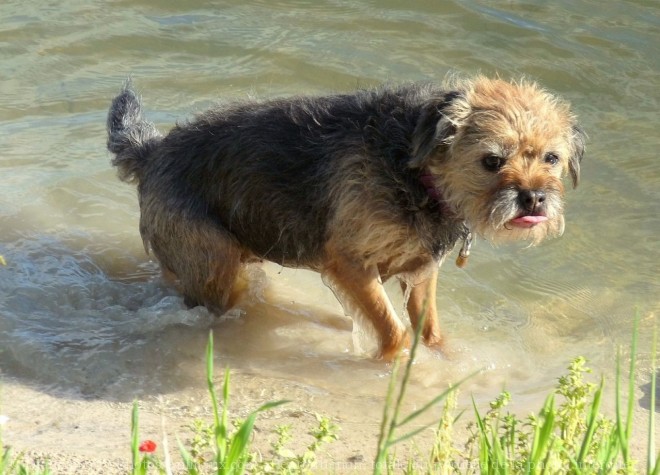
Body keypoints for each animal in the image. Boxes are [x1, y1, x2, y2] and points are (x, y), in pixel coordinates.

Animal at [108, 76, 588, 360]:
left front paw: (444, 358)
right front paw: (391, 367)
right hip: (215, 264)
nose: (534, 198)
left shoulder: (421, 272)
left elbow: (429, 328)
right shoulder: (352, 266)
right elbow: (393, 331)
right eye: (492, 160)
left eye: (551, 158)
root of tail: (153, 151)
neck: (416, 168)